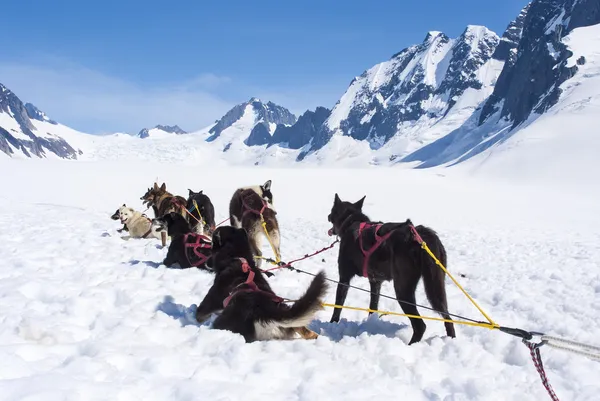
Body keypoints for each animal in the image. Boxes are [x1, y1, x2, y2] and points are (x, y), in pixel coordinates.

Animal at [196, 225, 324, 340]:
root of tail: (267, 312)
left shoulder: (210, 300)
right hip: (285, 307)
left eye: (212, 245)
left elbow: (200, 312)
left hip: (224, 322)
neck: (238, 258)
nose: (206, 263)